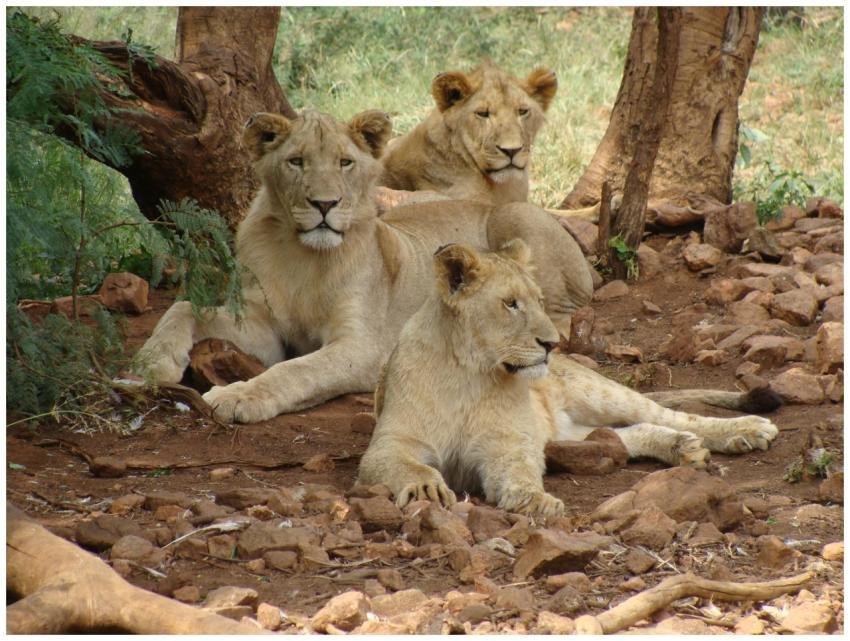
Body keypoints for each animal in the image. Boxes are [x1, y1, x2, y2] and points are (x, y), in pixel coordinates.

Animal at [135, 109, 592, 423]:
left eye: (345, 162)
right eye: (296, 161)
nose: (324, 204)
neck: (304, 258)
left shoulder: (363, 346)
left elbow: (296, 370)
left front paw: (238, 397)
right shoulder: (263, 329)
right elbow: (184, 308)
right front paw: (151, 363)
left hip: (514, 218)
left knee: (565, 316)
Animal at [356, 241, 780, 517]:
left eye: (540, 301)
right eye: (511, 303)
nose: (552, 343)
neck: (470, 373)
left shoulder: (508, 442)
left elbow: (519, 470)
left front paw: (534, 500)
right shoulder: (390, 443)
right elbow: (412, 466)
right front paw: (426, 488)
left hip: (599, 392)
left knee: (675, 416)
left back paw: (745, 430)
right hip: (567, 433)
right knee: (625, 435)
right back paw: (682, 447)